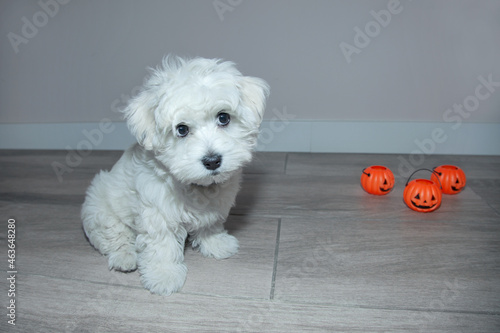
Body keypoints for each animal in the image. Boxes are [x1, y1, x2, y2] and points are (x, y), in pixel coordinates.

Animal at [82, 55, 270, 294]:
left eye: (223, 118)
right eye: (181, 129)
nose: (212, 161)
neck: (196, 185)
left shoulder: (214, 207)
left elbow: (209, 224)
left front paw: (216, 243)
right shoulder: (157, 212)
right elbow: (162, 244)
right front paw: (164, 275)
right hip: (100, 210)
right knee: (113, 235)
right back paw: (124, 258)